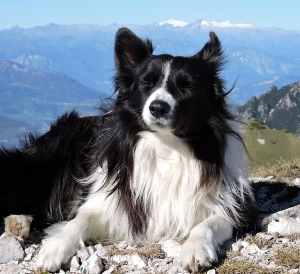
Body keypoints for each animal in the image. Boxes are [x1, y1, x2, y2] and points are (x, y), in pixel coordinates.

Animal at [0, 27, 253, 272]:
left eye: (186, 87)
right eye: (146, 84)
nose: (158, 107)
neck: (166, 146)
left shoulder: (231, 207)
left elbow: (207, 224)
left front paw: (194, 250)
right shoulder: (106, 200)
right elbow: (79, 220)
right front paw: (55, 247)